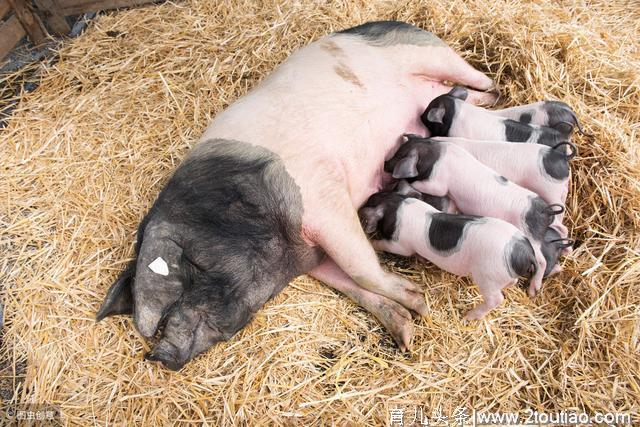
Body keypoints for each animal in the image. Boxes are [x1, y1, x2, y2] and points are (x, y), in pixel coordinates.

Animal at [95, 20, 502, 370]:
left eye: (172, 302)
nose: (156, 356)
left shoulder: (322, 198)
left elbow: (360, 265)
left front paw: (420, 302)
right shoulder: (314, 256)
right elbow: (349, 281)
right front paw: (406, 331)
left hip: (426, 50)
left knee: (484, 81)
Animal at [360, 192, 536, 320]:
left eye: (371, 201)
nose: (368, 198)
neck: (399, 207)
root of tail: (527, 253)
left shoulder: (401, 244)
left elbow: (389, 246)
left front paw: (373, 243)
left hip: (489, 276)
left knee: (496, 299)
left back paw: (468, 317)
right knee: (511, 282)